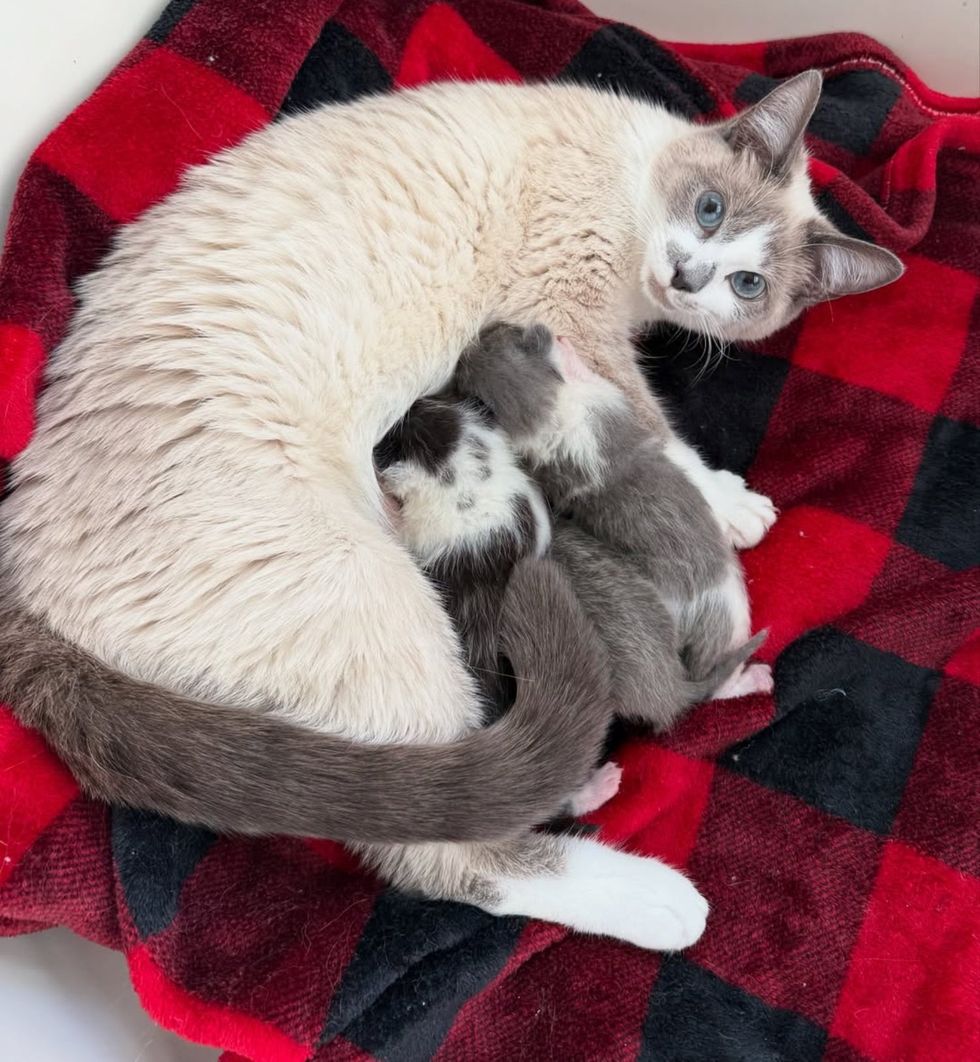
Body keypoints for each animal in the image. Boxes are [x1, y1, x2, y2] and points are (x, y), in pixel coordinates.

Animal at [0, 70, 904, 951]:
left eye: (748, 284)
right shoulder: (567, 314)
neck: (637, 183)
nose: (687, 275)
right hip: (371, 600)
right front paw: (731, 506)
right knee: (452, 854)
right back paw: (665, 900)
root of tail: (27, 594)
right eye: (709, 208)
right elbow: (647, 423)